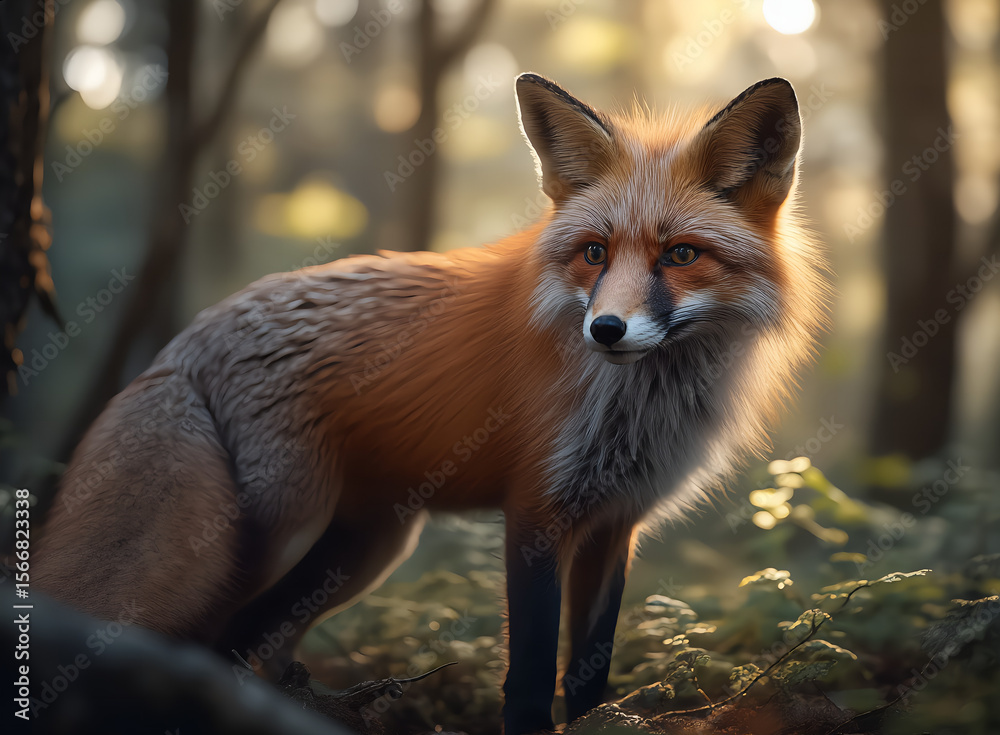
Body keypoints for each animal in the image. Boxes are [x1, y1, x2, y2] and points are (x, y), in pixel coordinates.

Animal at [34, 73, 826, 734]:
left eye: (680, 255)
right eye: (595, 253)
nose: (604, 329)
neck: (640, 407)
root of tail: (185, 341)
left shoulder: (614, 523)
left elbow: (589, 674)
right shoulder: (537, 512)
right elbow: (530, 675)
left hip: (361, 550)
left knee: (255, 644)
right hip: (277, 535)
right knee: (206, 642)